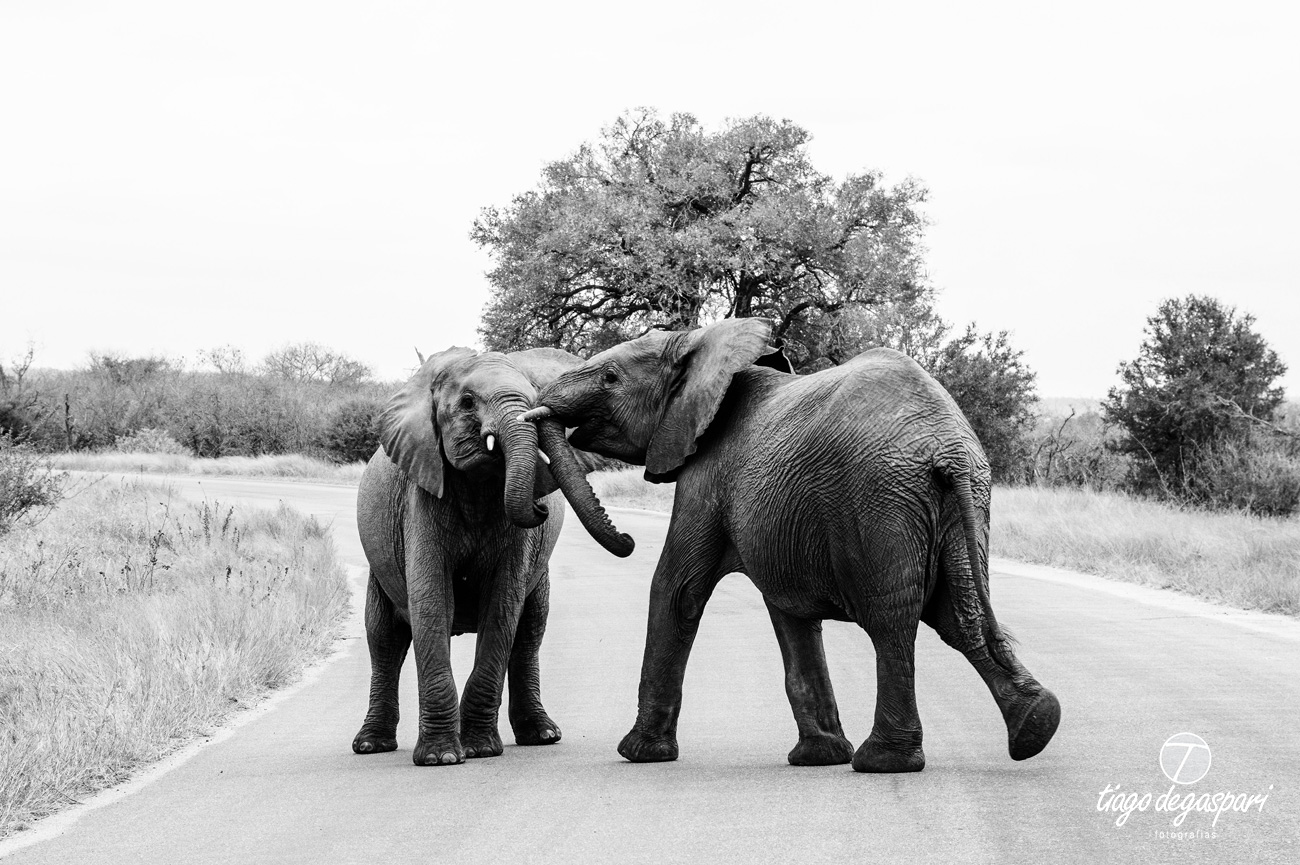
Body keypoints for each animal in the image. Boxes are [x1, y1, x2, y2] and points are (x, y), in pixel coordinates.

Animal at [352, 345, 631, 767]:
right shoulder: (420, 496)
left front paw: (480, 750)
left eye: (534, 398)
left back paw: (543, 736)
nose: (541, 507)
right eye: (468, 402)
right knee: (383, 639)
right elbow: (431, 601)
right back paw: (370, 745)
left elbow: (502, 605)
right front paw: (440, 758)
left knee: (529, 632)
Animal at [520, 317, 1061, 773]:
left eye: (610, 377)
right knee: (960, 612)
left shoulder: (708, 475)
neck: (703, 342)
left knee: (892, 620)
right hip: (961, 503)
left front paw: (638, 755)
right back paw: (1036, 725)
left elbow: (676, 589)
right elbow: (790, 614)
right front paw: (818, 757)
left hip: (881, 499)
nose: (629, 540)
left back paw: (883, 762)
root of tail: (948, 447)